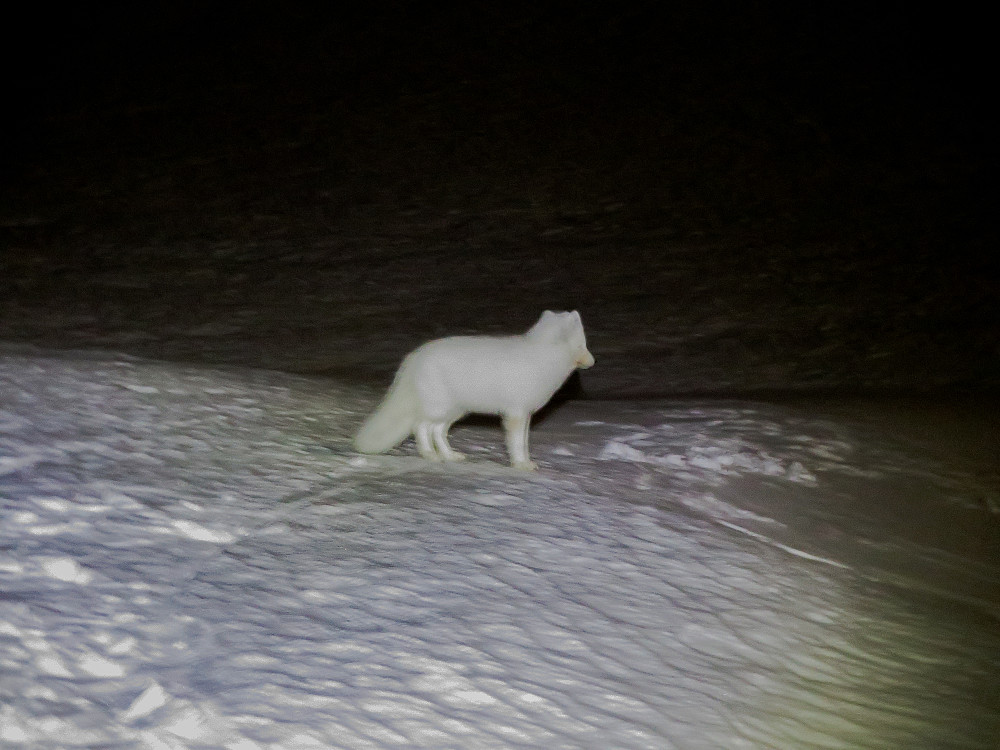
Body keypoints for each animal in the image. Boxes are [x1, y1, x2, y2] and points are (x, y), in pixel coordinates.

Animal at [354, 312, 592, 470]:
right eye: (582, 345)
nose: (593, 362)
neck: (545, 356)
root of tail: (413, 357)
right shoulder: (516, 413)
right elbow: (516, 443)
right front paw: (521, 465)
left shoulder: (525, 414)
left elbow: (524, 441)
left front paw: (525, 462)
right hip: (439, 408)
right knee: (420, 426)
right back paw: (431, 456)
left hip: (454, 411)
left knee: (437, 431)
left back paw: (450, 456)